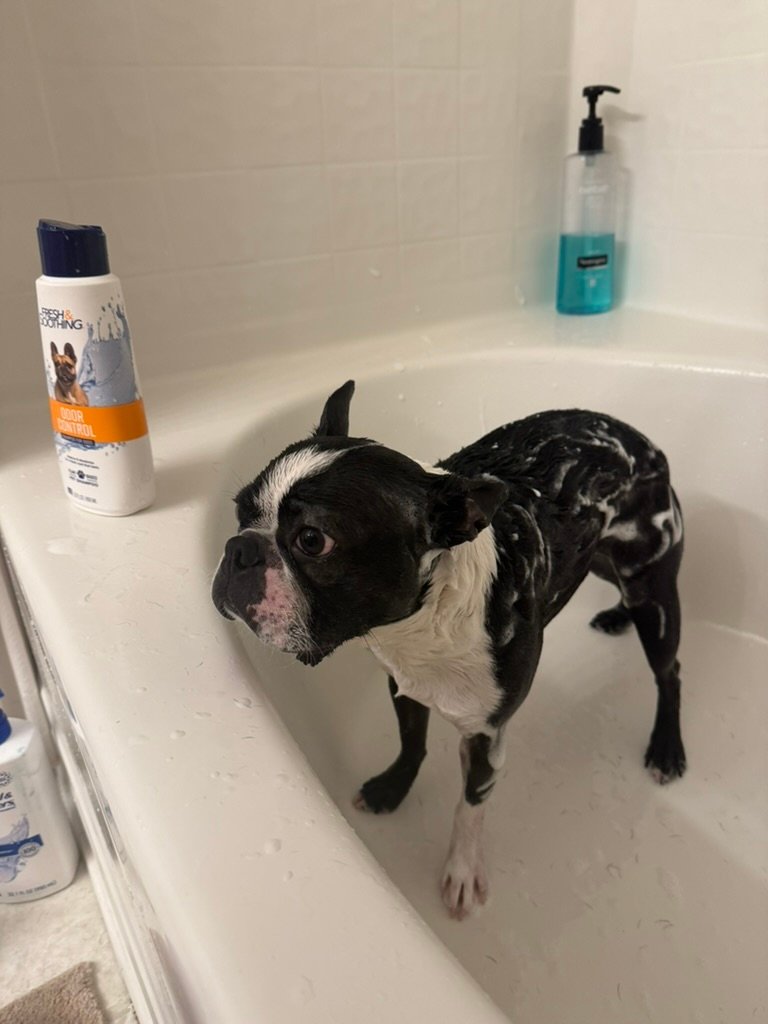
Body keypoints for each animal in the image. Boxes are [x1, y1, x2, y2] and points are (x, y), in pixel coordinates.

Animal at [214, 382, 688, 921]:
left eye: (312, 540)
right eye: (239, 511)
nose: (238, 548)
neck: (422, 626)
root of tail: (642, 441)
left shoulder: (488, 736)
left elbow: (470, 806)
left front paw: (461, 870)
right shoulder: (403, 684)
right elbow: (411, 742)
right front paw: (393, 788)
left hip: (653, 590)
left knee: (669, 670)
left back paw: (666, 746)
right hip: (607, 563)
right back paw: (615, 617)